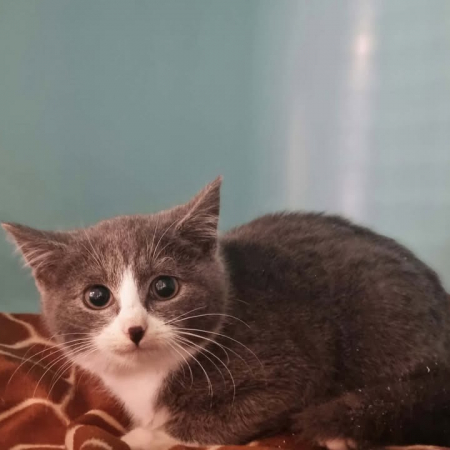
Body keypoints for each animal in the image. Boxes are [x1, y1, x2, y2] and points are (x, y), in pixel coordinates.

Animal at [3, 177, 450, 450]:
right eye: (97, 296)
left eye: (164, 288)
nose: (135, 329)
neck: (149, 376)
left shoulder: (288, 370)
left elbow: (221, 419)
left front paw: (144, 437)